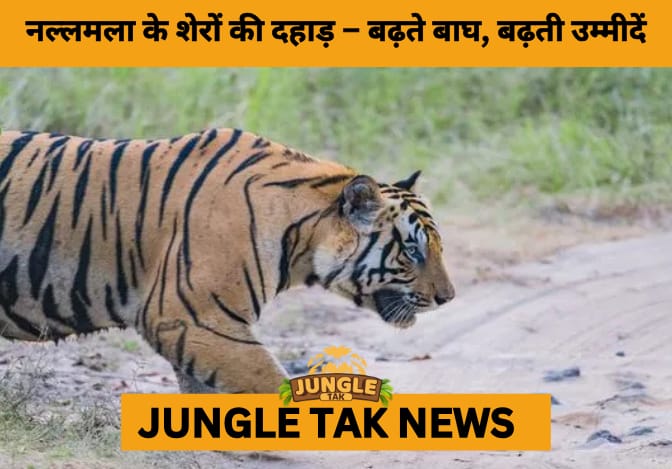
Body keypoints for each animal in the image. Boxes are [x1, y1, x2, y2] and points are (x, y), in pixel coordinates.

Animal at [0, 128, 455, 393]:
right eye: (413, 251)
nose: (448, 298)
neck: (301, 236)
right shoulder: (193, 317)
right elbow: (266, 381)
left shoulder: (195, 326)